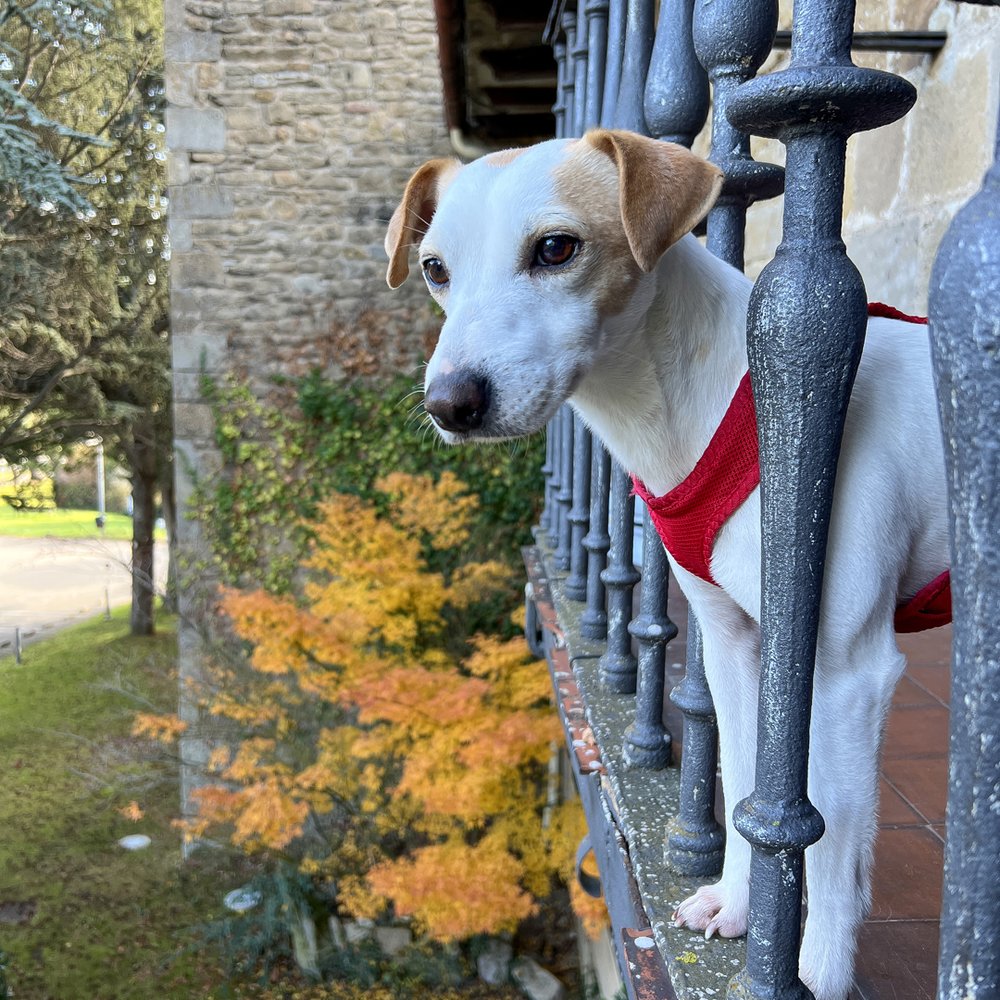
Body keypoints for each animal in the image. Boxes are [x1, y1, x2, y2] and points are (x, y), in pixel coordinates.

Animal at [384, 131, 952, 1000]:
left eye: (557, 248)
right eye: (435, 268)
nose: (449, 403)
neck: (724, 405)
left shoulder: (850, 672)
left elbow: (829, 850)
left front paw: (818, 969)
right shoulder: (733, 646)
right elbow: (749, 790)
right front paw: (740, 907)